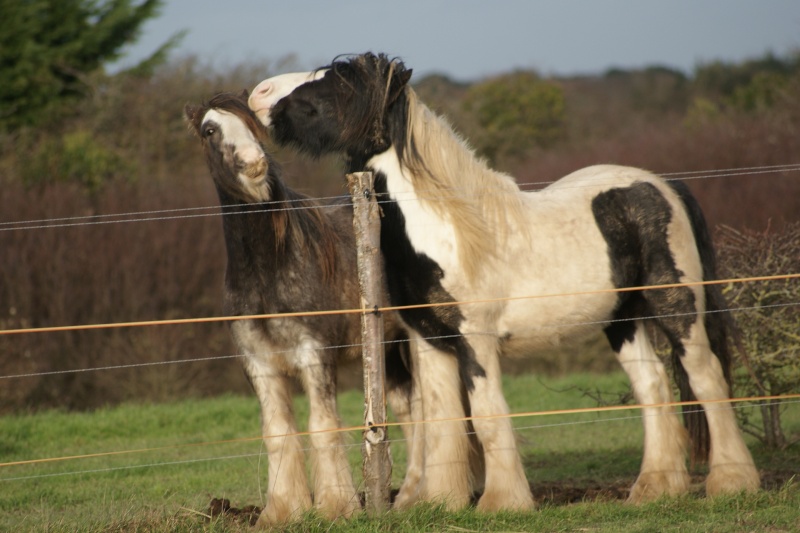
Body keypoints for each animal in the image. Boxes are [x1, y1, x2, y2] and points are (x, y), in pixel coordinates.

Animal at [184, 92, 416, 524]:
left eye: (255, 126)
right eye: (209, 130)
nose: (254, 163)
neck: (268, 272)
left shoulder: (315, 355)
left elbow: (322, 426)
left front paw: (337, 507)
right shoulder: (258, 363)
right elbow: (278, 432)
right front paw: (283, 510)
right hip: (390, 352)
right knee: (409, 411)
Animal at [247, 55, 760, 512]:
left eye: (341, 80)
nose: (259, 93)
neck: (449, 229)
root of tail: (662, 184)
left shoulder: (476, 338)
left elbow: (486, 416)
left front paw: (501, 503)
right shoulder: (429, 340)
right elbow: (442, 419)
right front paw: (440, 502)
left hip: (677, 306)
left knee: (706, 377)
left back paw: (732, 482)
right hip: (623, 319)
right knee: (653, 387)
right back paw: (655, 490)